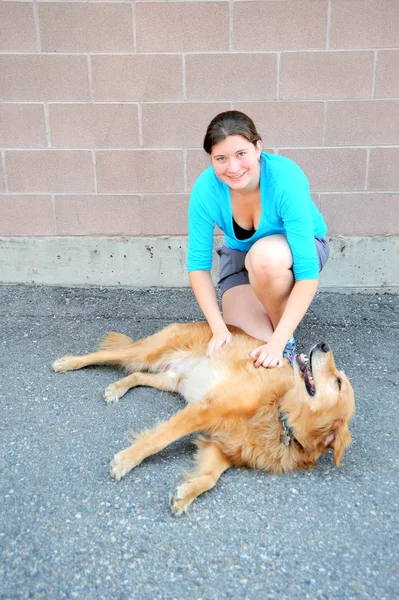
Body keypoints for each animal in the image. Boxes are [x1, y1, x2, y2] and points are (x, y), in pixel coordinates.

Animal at [52, 324, 356, 516]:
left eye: (338, 383)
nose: (324, 344)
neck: (281, 416)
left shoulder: (221, 446)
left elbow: (210, 477)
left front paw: (185, 494)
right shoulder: (205, 411)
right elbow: (159, 440)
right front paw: (126, 461)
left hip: (171, 379)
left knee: (136, 375)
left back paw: (117, 388)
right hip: (148, 352)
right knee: (105, 355)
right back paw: (67, 362)